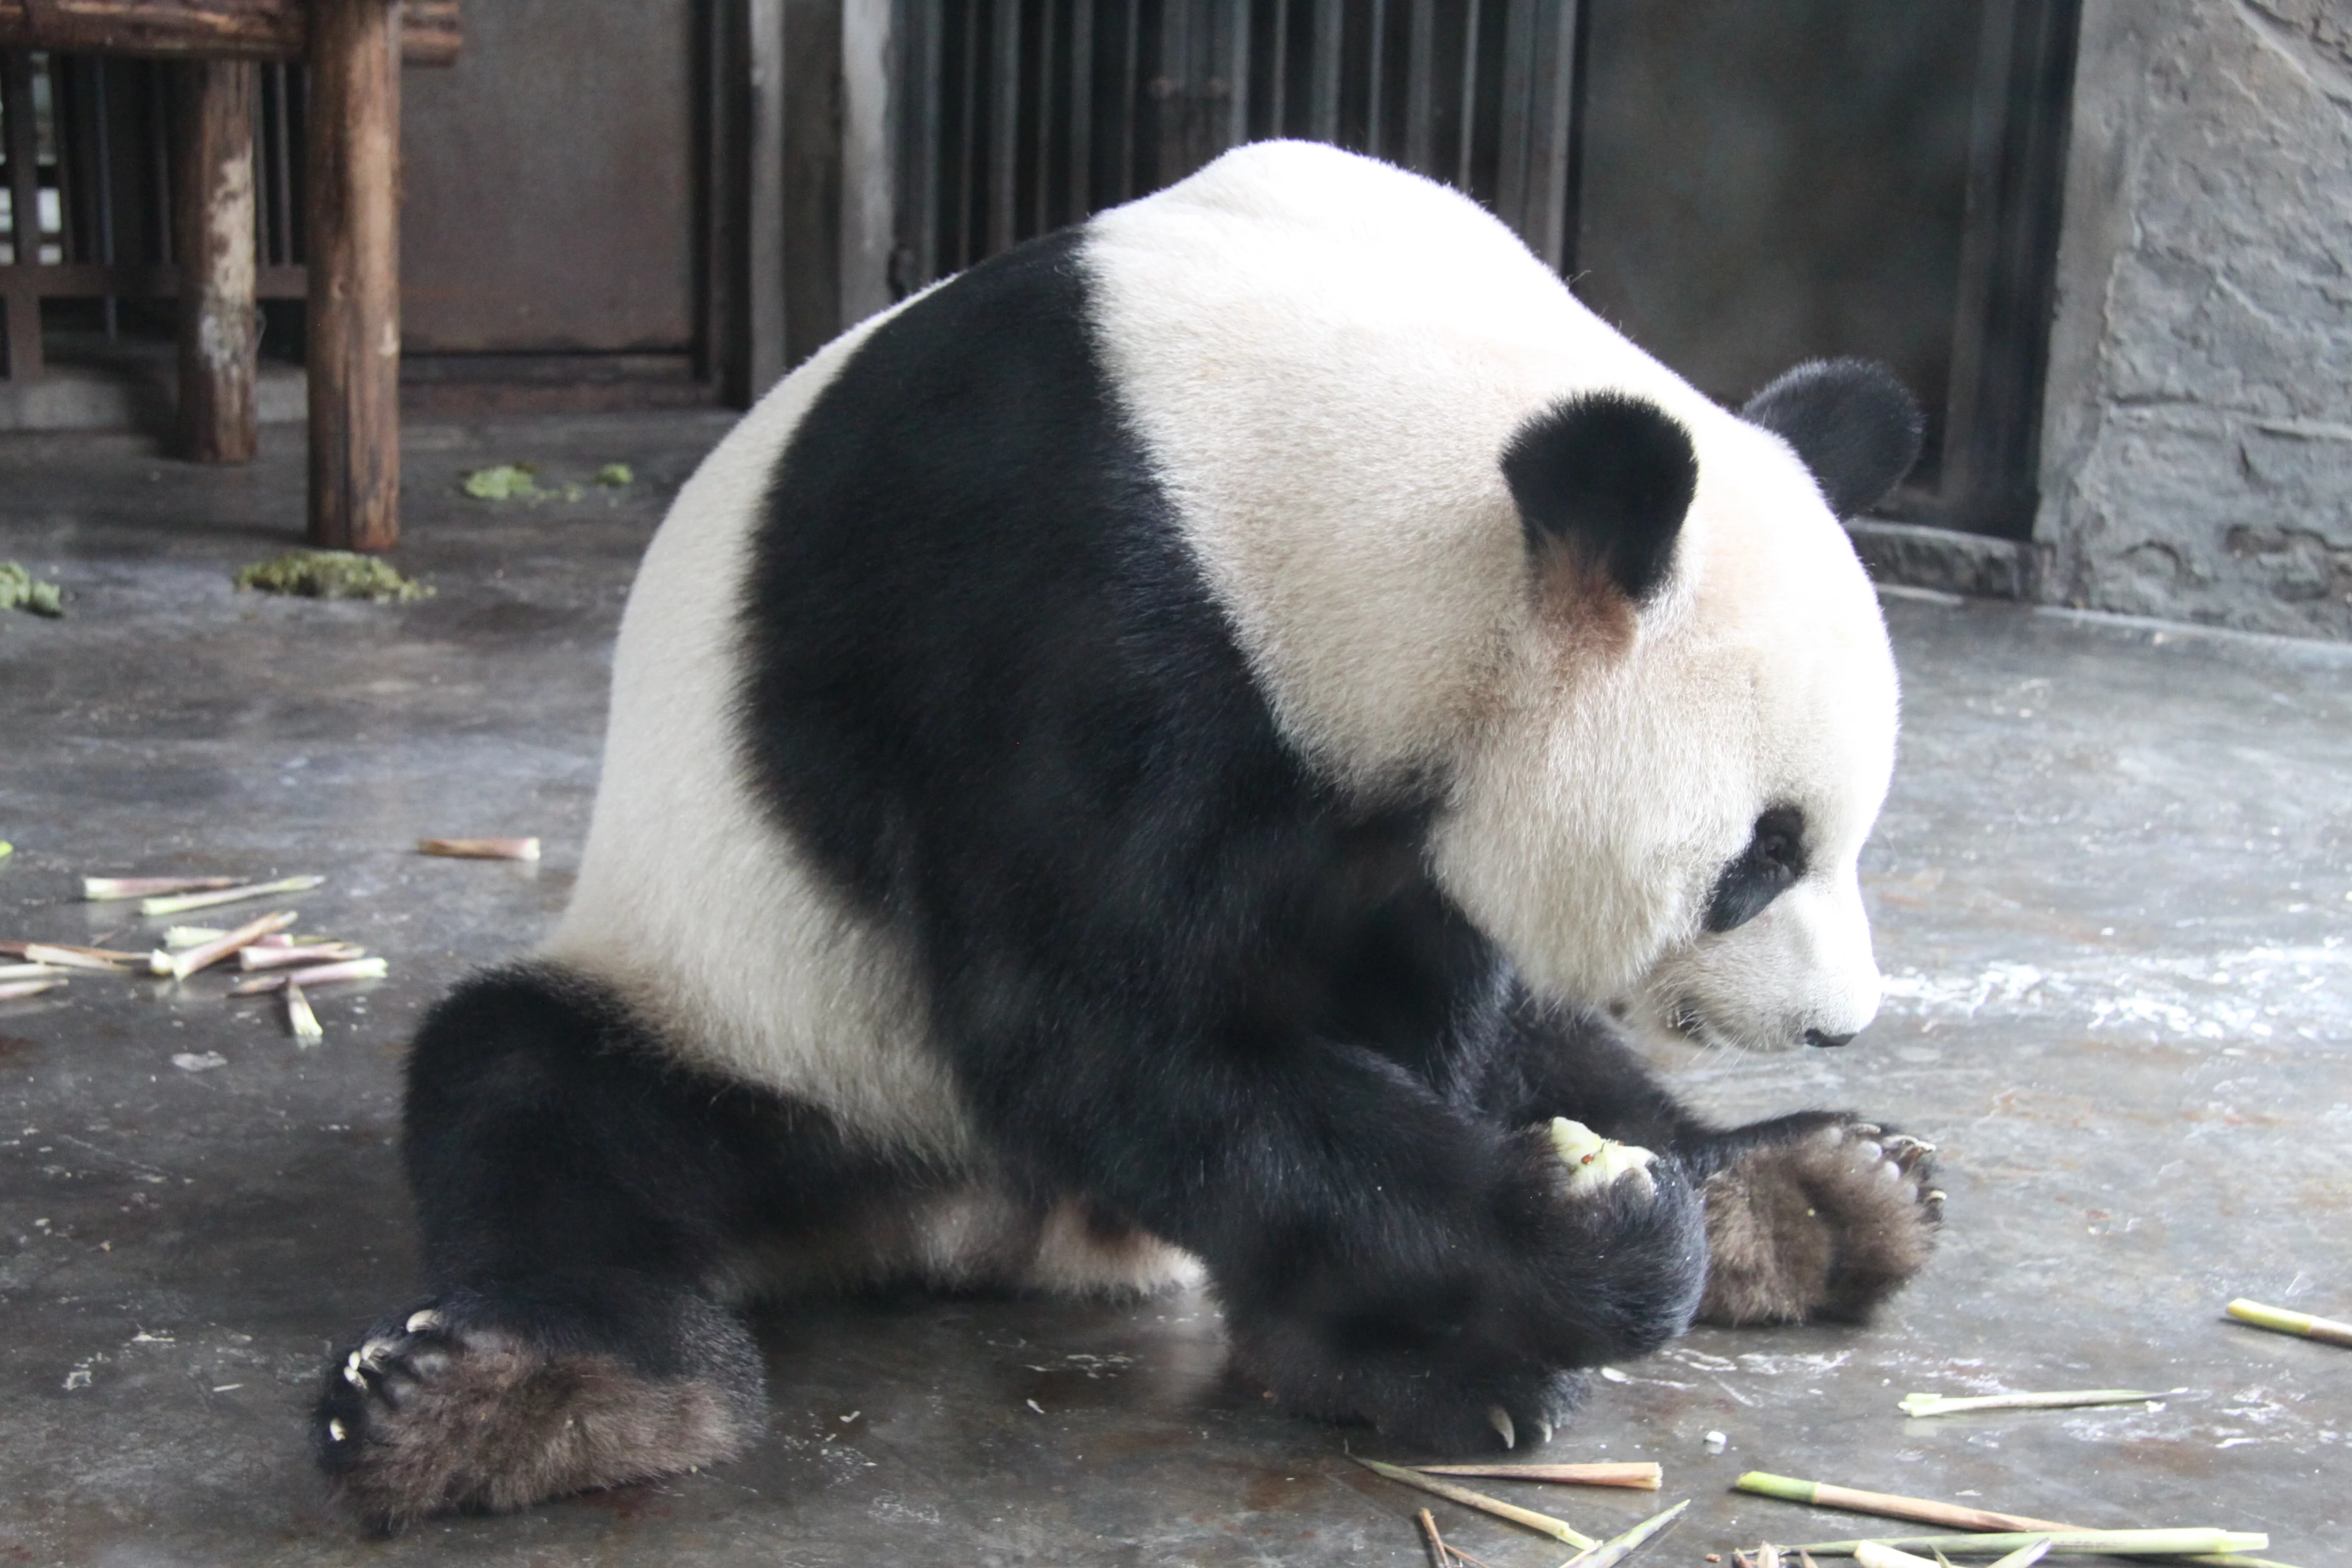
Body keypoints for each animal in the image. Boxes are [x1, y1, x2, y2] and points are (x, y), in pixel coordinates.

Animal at [315, 140, 1939, 1527]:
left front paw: (1421, 1331)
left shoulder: (1387, 798)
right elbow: (1094, 1030)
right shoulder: (1044, 591)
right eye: (1761, 854)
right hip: (764, 1020)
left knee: (1556, 1048)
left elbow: (1409, 1012)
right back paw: (519, 1400)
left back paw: (1812, 1193)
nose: (1839, 1022)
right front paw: (1565, 1239)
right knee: (531, 1091)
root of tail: (975, 1228)